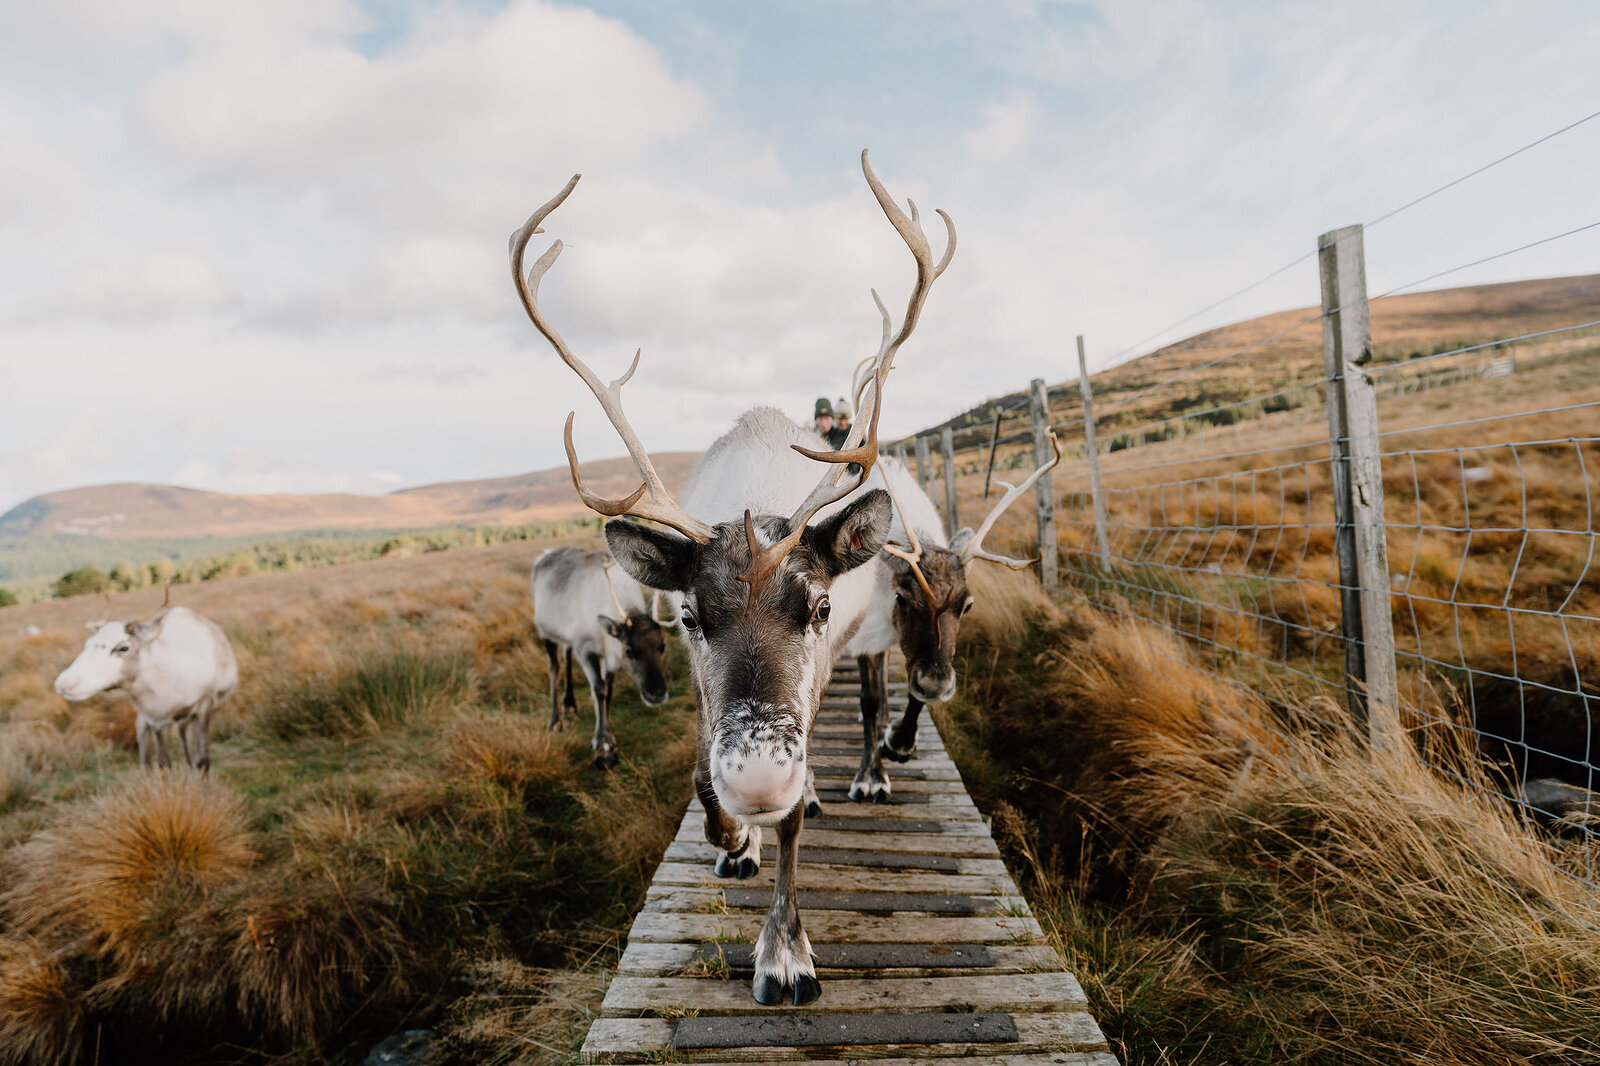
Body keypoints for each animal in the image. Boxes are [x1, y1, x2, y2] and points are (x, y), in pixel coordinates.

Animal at [531, 545, 670, 768]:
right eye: (629, 650)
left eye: (662, 646)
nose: (657, 694)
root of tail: (545, 554)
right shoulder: (586, 650)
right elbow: (599, 690)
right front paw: (603, 744)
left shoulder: (607, 655)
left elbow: (608, 691)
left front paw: (609, 739)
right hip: (546, 633)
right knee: (555, 668)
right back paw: (555, 722)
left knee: (566, 655)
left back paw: (570, 704)